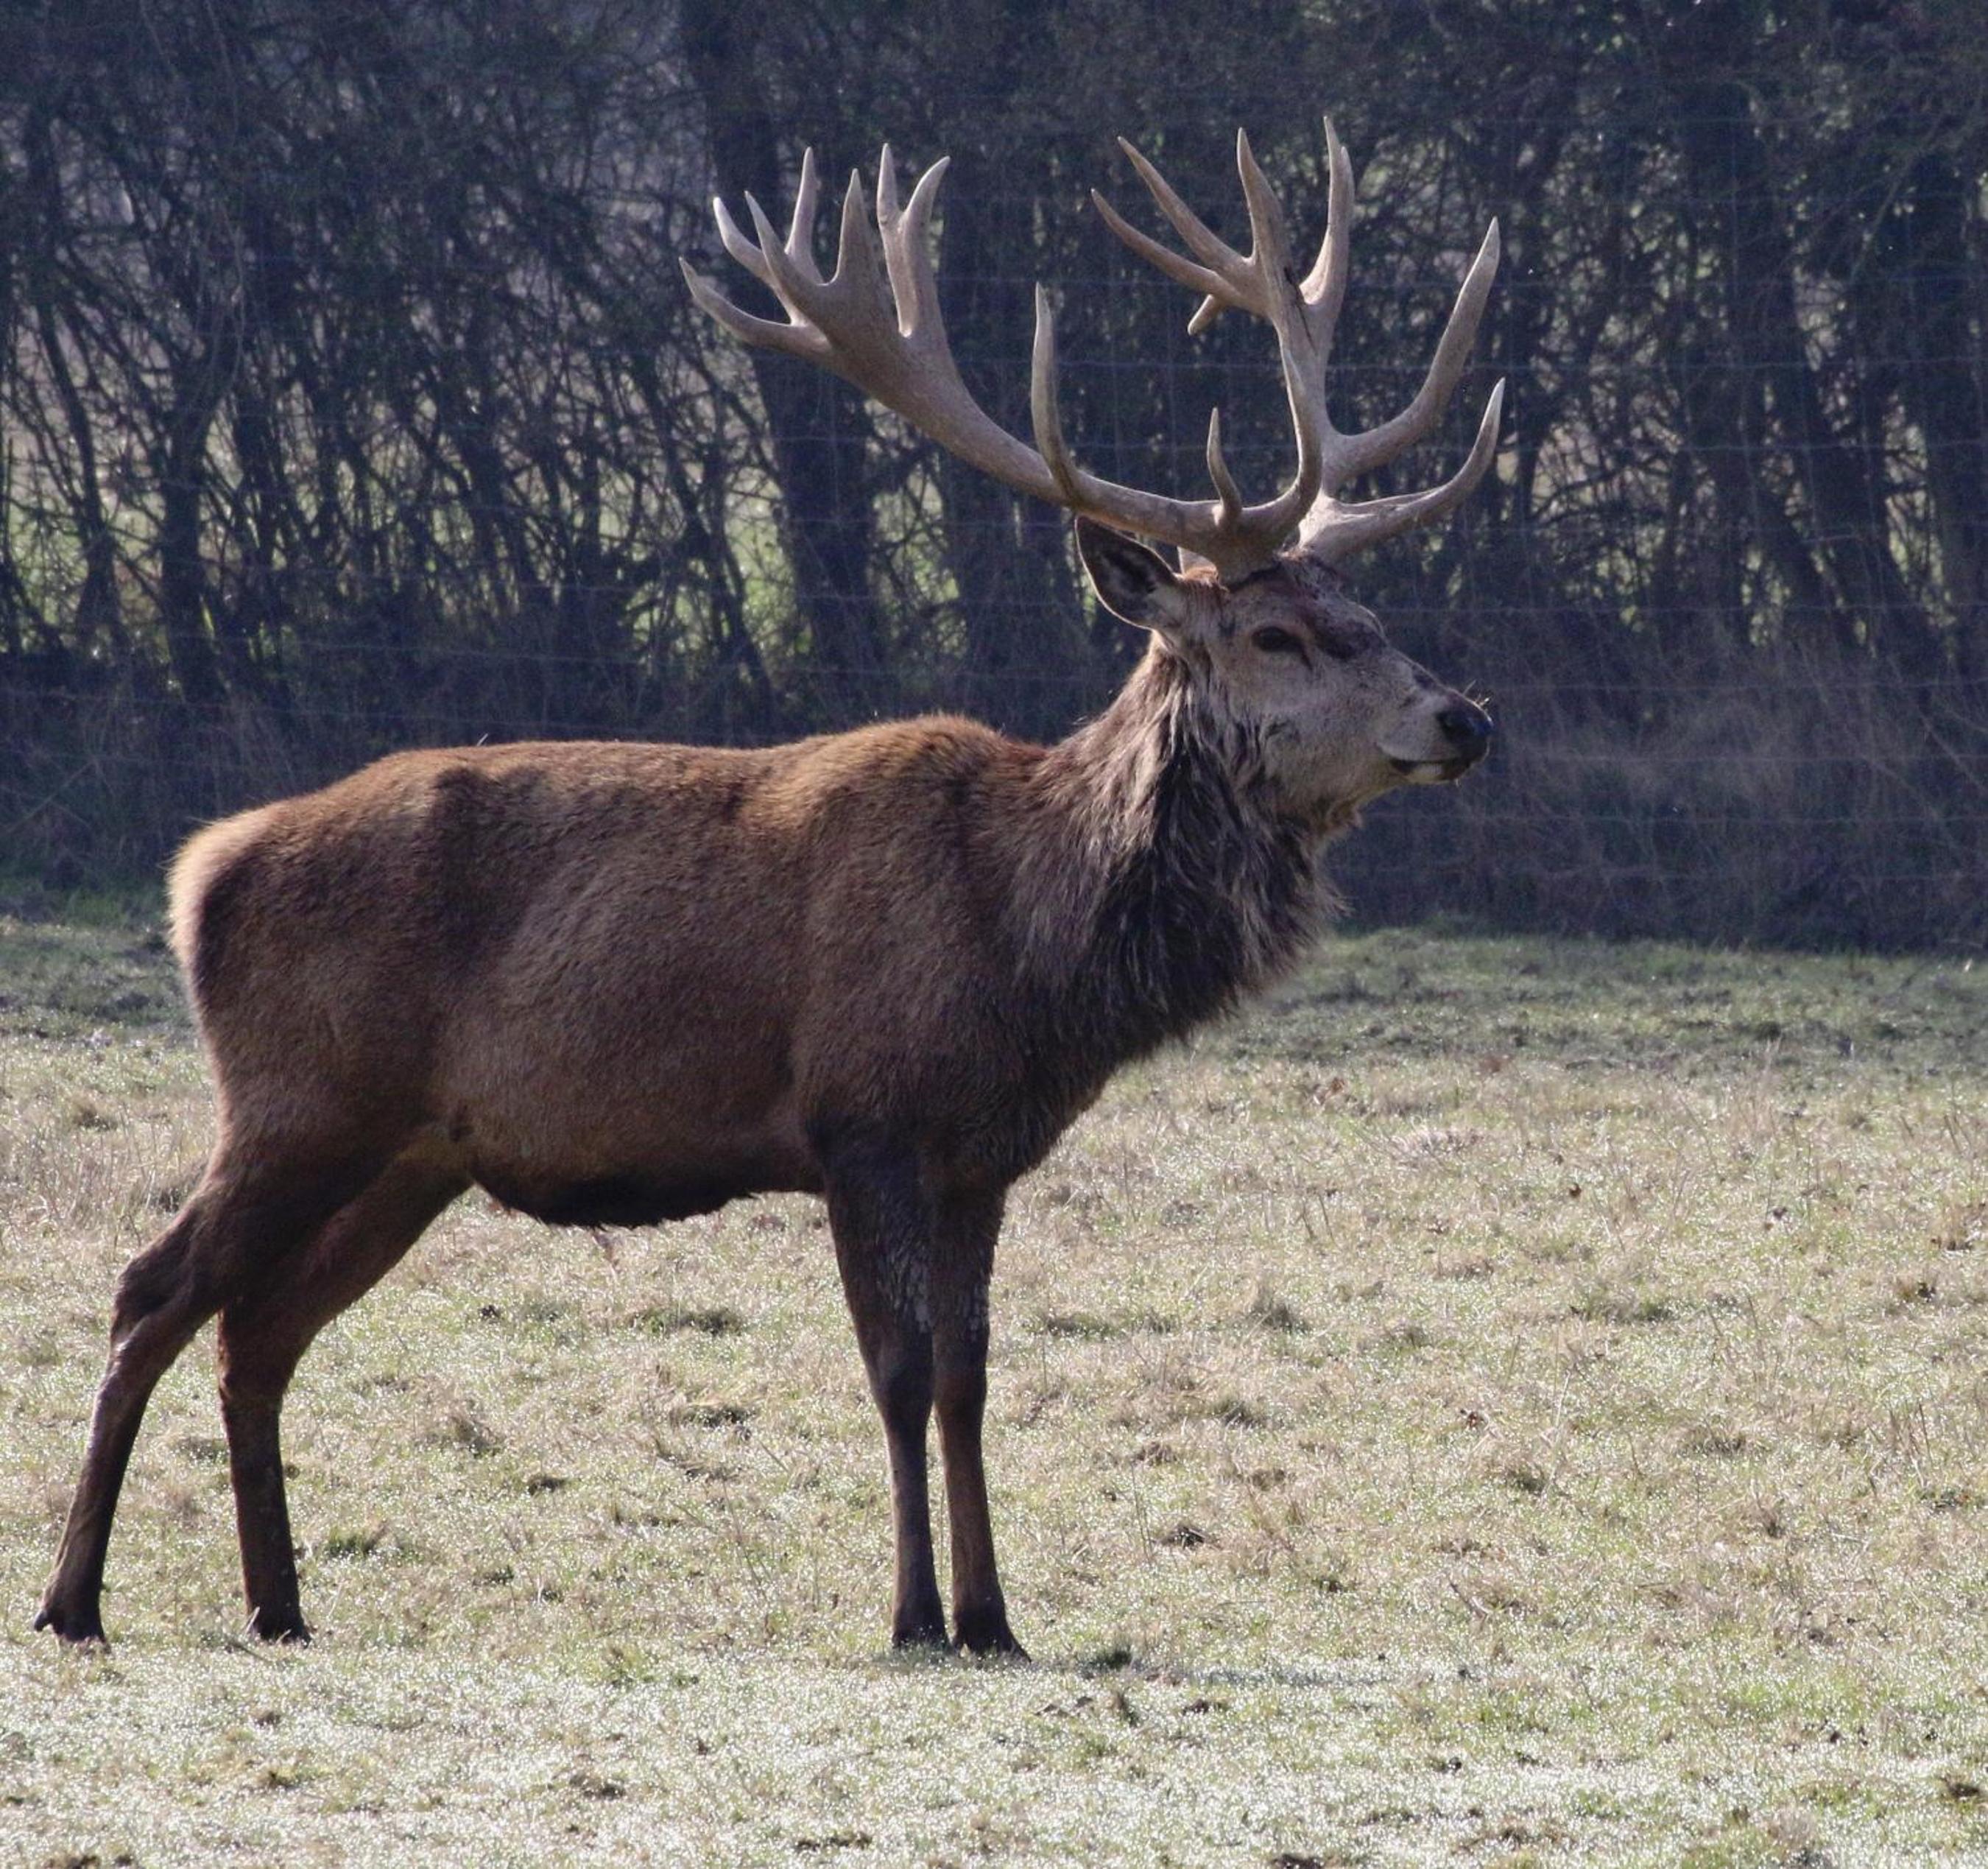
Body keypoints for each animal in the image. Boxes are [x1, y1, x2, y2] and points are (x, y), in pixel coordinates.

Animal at [36, 120, 1502, 1657]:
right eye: (1279, 635)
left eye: (1372, 616)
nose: (1464, 717)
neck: (1032, 945)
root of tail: (201, 871)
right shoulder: (862, 1115)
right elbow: (899, 1374)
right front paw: (913, 1612)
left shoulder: (980, 1154)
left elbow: (973, 1378)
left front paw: (994, 1614)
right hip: (298, 1096)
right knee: (152, 1290)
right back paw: (76, 1599)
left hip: (407, 1153)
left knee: (258, 1331)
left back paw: (279, 1603)